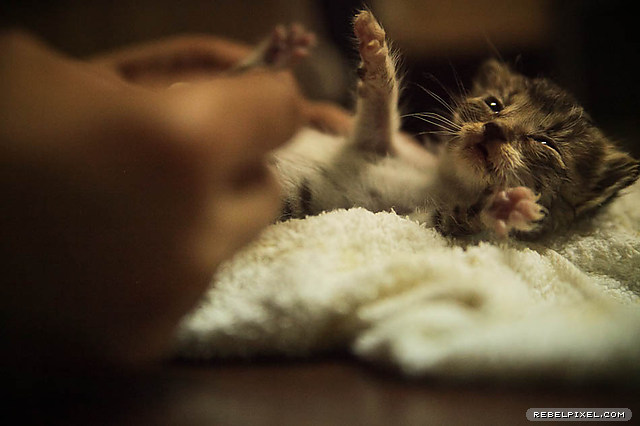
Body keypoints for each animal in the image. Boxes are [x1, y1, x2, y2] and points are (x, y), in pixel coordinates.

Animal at [241, 11, 640, 240]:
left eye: (544, 144)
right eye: (493, 105)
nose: (494, 130)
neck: (446, 180)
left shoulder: (407, 217)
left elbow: (454, 220)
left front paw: (504, 210)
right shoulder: (371, 142)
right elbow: (380, 105)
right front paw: (374, 51)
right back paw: (276, 54)